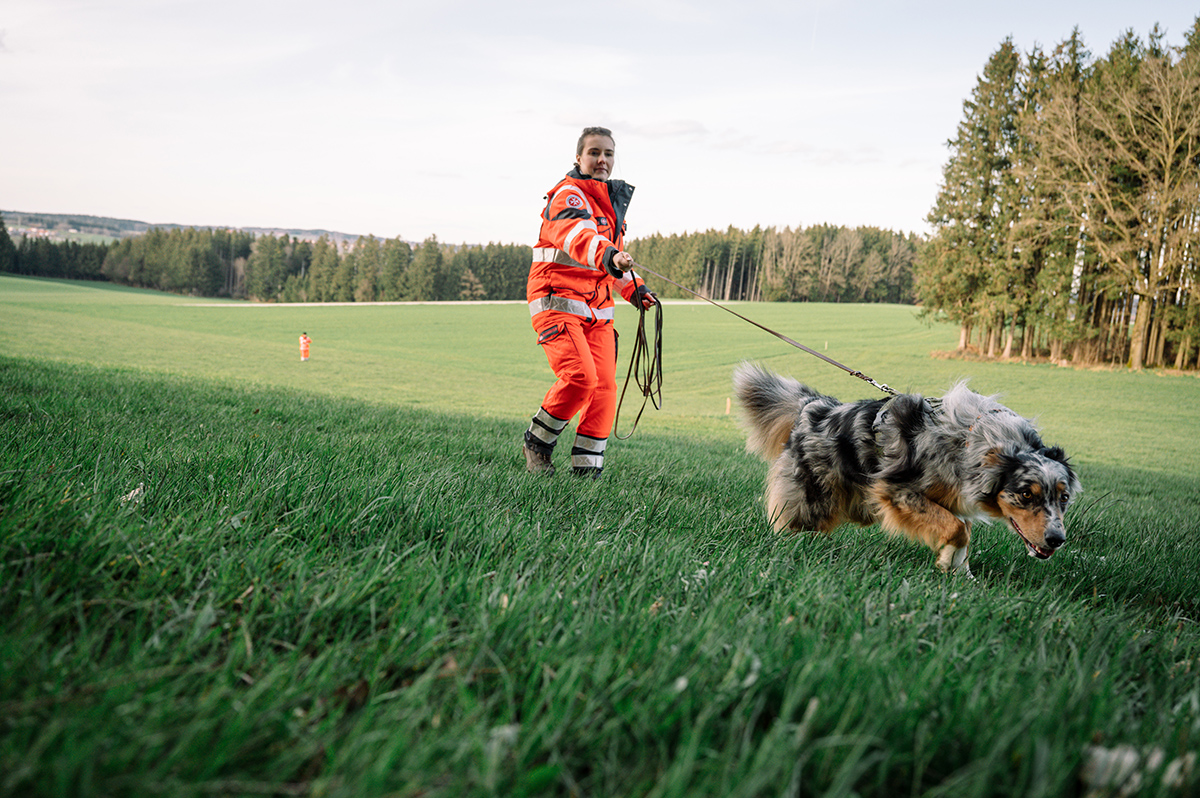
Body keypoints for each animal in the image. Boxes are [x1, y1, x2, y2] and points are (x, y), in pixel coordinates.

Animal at [729, 360, 1080, 573]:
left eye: (1064, 497)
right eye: (1025, 494)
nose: (1056, 539)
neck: (979, 443)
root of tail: (814, 405)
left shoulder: (954, 496)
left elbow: (963, 530)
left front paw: (959, 573)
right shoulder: (897, 490)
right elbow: (956, 528)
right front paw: (949, 561)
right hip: (817, 495)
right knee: (792, 520)